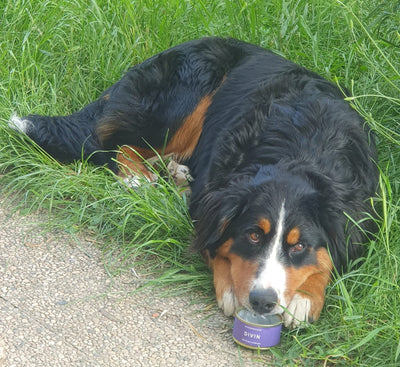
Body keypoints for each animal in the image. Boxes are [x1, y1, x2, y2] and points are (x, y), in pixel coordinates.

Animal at [8, 38, 378, 330]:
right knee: (114, 144)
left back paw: (175, 174)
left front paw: (304, 298)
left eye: (299, 246)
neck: (299, 147)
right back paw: (140, 179)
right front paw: (231, 289)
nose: (262, 301)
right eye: (252, 235)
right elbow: (214, 245)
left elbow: (332, 257)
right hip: (191, 88)